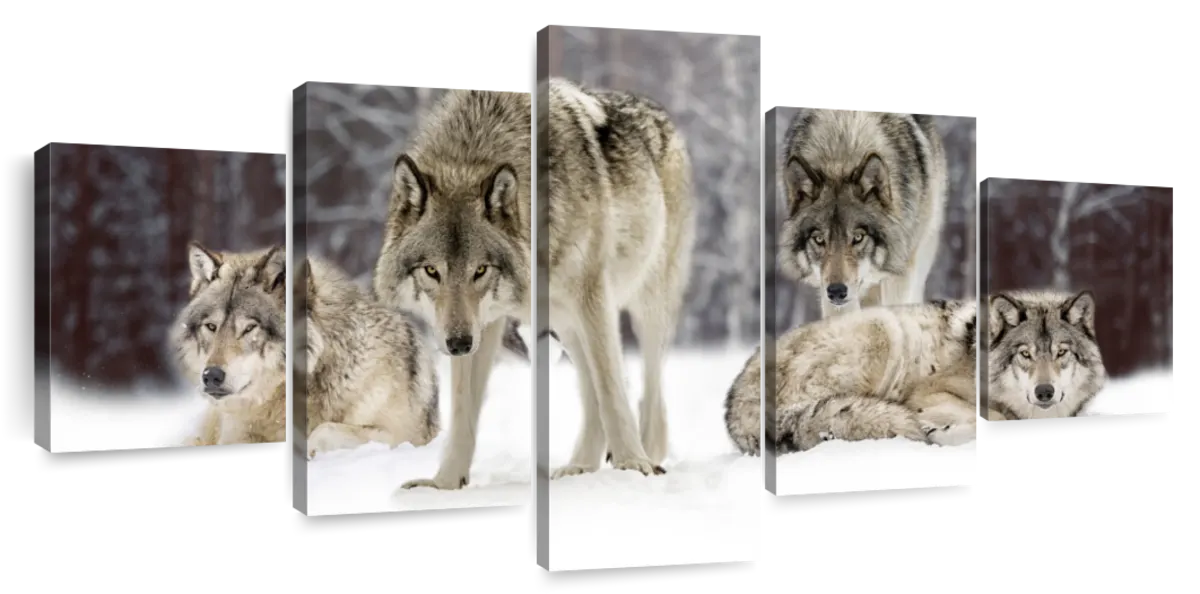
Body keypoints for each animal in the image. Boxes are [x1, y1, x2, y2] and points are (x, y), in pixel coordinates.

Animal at [374, 88, 532, 490]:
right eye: (432, 271)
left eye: (480, 270)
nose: (459, 343)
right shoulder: (480, 327)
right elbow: (463, 406)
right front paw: (445, 484)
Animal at [542, 78, 695, 478]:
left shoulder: (591, 293)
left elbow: (612, 387)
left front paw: (632, 462)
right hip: (566, 320)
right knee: (594, 389)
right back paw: (581, 465)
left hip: (648, 307)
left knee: (649, 393)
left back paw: (647, 454)